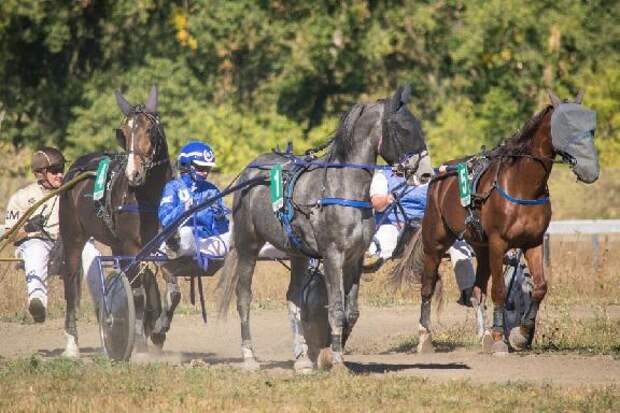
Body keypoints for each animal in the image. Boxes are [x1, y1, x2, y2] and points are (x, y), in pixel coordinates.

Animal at [60, 86, 172, 358]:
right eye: (124, 133)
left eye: (150, 130)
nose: (134, 173)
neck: (149, 196)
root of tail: (77, 168)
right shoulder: (131, 246)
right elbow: (138, 293)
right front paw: (138, 342)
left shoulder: (162, 246)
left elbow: (169, 286)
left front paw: (158, 330)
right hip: (72, 237)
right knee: (70, 284)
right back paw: (72, 345)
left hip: (116, 243)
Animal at [217, 86, 432, 370]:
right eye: (403, 129)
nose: (426, 174)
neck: (340, 190)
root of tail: (250, 172)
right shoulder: (332, 256)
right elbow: (336, 309)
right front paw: (337, 361)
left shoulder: (354, 259)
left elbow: (351, 312)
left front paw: (329, 351)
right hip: (247, 247)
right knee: (244, 298)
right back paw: (250, 357)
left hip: (296, 254)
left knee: (293, 299)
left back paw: (301, 360)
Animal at [394, 91, 600, 354]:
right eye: (567, 126)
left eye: (591, 128)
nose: (590, 169)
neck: (523, 185)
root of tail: (439, 175)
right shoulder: (498, 243)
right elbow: (500, 291)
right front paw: (501, 338)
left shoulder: (533, 242)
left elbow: (540, 287)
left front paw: (522, 334)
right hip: (435, 242)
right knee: (427, 286)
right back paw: (425, 337)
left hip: (480, 247)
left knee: (477, 291)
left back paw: (485, 337)